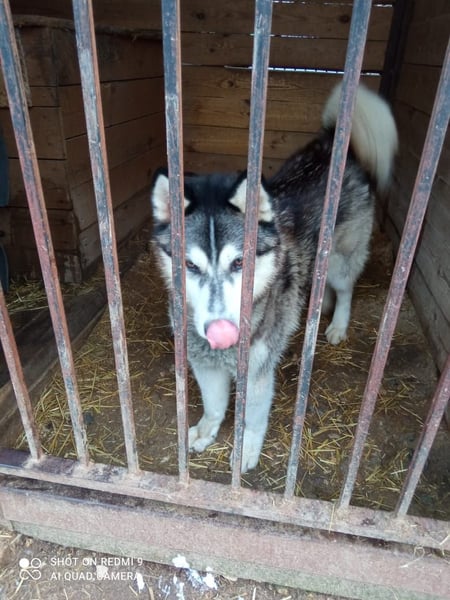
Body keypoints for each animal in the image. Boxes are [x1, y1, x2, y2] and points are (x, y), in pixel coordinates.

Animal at [151, 82, 398, 472]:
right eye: (190, 266)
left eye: (239, 263)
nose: (220, 331)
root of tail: (332, 142)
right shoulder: (203, 363)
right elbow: (214, 405)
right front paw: (206, 430)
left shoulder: (258, 370)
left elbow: (252, 418)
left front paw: (246, 451)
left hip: (341, 258)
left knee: (345, 288)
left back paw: (338, 324)